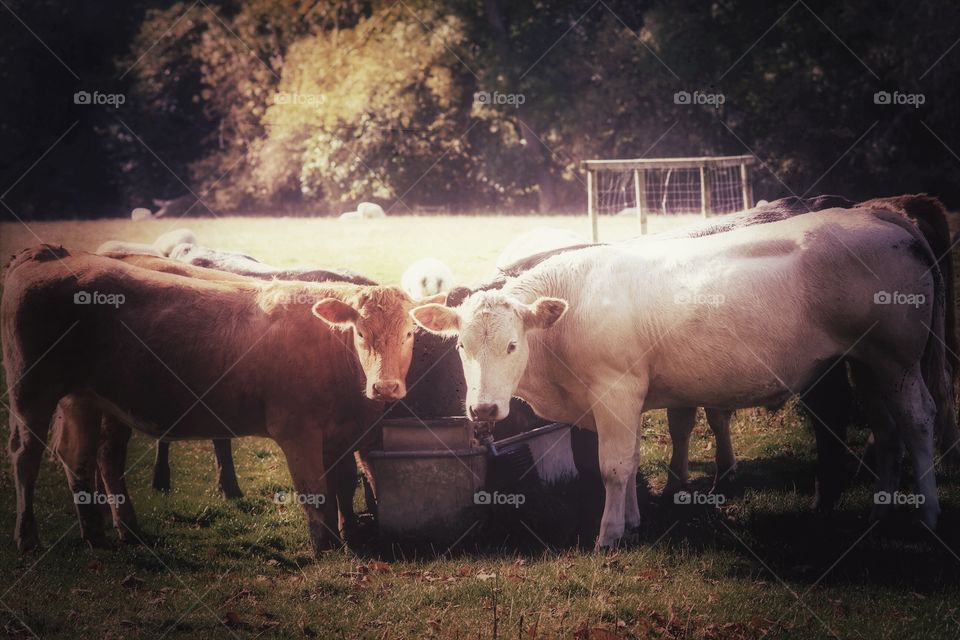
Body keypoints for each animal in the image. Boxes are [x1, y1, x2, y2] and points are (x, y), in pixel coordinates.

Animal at [2, 245, 433, 556]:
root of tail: (48, 254)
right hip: (32, 390)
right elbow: (315, 490)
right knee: (27, 455)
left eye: (410, 333)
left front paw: (349, 537)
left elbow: (344, 483)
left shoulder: (344, 434)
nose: (385, 388)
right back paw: (28, 537)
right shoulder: (297, 431)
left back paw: (110, 532)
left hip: (91, 400)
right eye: (360, 333)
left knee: (89, 456)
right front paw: (324, 548)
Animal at [412, 206, 954, 549]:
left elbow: (613, 465)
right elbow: (631, 459)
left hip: (899, 358)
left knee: (917, 421)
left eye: (511, 345)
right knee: (886, 429)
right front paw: (633, 524)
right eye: (460, 346)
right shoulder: (629, 398)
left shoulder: (616, 390)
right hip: (866, 363)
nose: (483, 409)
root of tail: (878, 214)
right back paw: (879, 512)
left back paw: (928, 517)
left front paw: (608, 536)